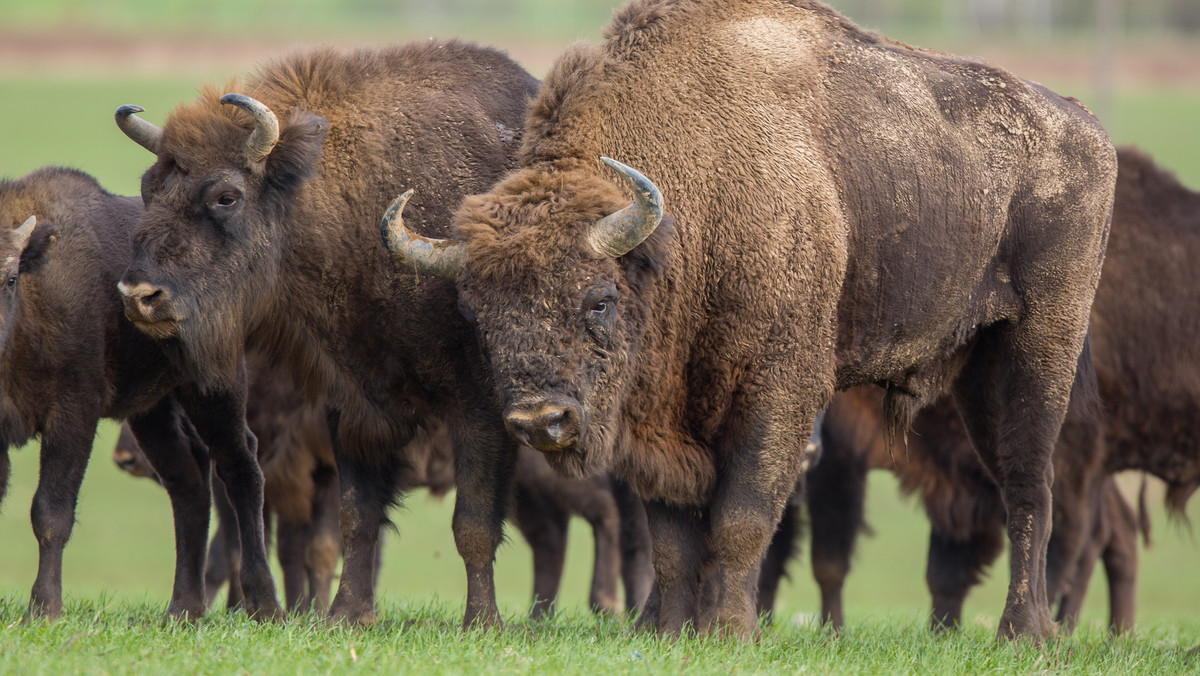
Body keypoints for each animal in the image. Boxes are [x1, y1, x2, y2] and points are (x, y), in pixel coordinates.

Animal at [0, 168, 278, 619]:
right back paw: (183, 610)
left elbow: (51, 512)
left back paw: (264, 604)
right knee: (188, 485)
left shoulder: (74, 414)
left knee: (240, 469)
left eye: (10, 278)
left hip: (214, 390)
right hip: (152, 412)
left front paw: (44, 608)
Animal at [115, 43, 540, 629]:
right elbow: (356, 516)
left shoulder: (479, 408)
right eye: (147, 187)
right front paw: (345, 614)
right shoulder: (353, 405)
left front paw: (481, 622)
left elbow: (472, 522)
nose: (139, 296)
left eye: (226, 196)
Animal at [388, 0, 1118, 638]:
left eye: (599, 299)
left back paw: (1026, 634)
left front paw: (732, 634)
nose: (542, 421)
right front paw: (672, 633)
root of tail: (1088, 130)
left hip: (1039, 344)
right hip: (975, 369)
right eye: (477, 313)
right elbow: (673, 537)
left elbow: (741, 520)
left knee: (1030, 486)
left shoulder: (780, 393)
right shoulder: (657, 419)